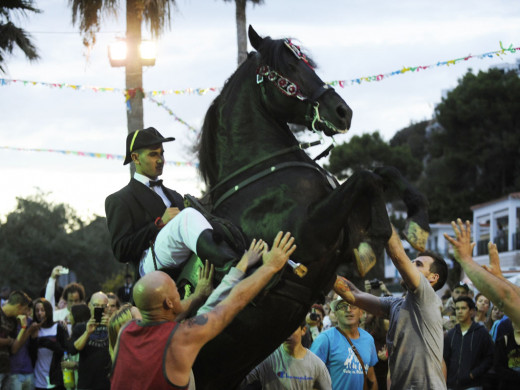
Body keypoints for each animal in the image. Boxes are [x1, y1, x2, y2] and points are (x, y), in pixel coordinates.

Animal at [193, 25, 428, 388]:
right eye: (289, 66)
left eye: (306, 63)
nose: (342, 111)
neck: (262, 177)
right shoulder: (311, 234)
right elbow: (365, 178)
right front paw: (377, 236)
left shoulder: (338, 238)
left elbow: (381, 172)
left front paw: (417, 222)